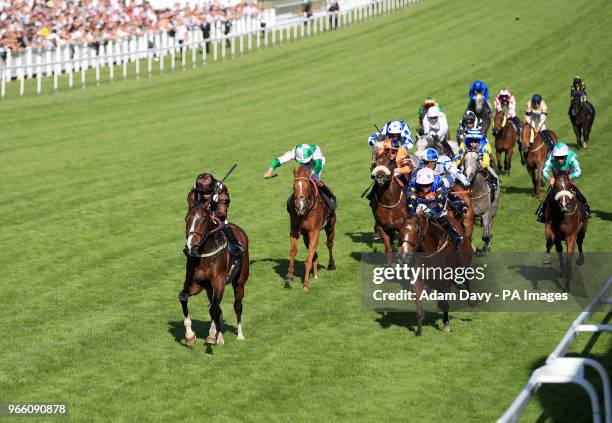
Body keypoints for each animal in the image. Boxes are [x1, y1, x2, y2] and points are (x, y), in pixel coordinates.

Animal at [179, 199, 249, 348]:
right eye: (187, 219)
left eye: (203, 220)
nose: (190, 247)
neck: (203, 255)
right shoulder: (196, 284)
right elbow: (183, 297)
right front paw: (190, 336)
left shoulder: (219, 283)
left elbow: (215, 309)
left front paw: (215, 336)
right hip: (209, 289)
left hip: (240, 282)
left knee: (237, 305)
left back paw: (239, 335)